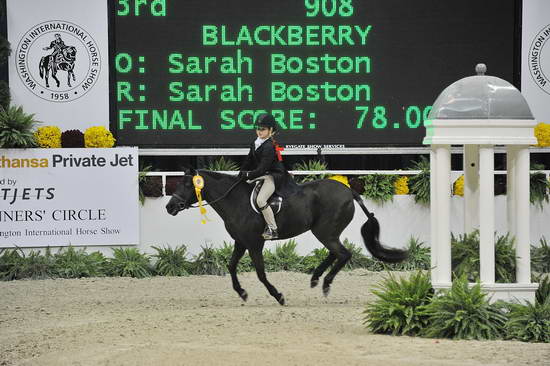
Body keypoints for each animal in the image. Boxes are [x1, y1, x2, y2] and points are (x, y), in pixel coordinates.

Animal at [168, 170, 410, 304]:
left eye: (188, 184)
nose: (169, 207)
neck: (235, 200)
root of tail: (348, 190)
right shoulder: (241, 242)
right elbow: (231, 265)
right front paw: (242, 293)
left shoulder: (254, 244)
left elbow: (260, 273)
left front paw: (278, 296)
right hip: (326, 232)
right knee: (336, 253)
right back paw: (316, 279)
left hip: (324, 231)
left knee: (343, 254)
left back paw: (325, 284)